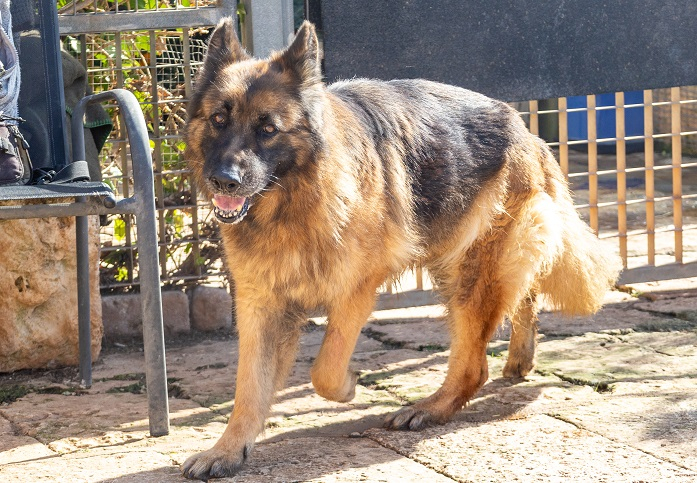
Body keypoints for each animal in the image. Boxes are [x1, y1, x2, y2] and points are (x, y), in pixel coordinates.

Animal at [181, 17, 621, 480]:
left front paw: (348, 387)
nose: (223, 180)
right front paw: (227, 450)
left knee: (473, 364)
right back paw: (518, 360)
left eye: (268, 129)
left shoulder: (356, 291)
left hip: (472, 276)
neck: (293, 204)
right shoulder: (260, 306)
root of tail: (525, 130)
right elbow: (248, 389)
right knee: (524, 299)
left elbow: (325, 370)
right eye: (218, 119)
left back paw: (430, 408)